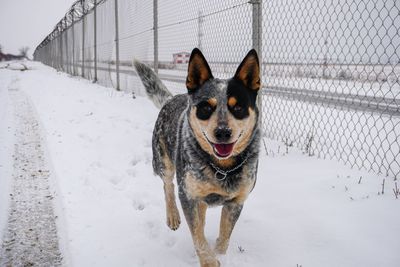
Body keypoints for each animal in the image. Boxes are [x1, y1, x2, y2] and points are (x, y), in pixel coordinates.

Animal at [133, 48, 260, 267]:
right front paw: (209, 261)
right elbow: (197, 235)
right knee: (168, 185)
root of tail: (170, 99)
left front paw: (218, 253)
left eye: (238, 108)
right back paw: (173, 216)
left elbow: (224, 237)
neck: (222, 168)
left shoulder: (236, 201)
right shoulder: (188, 195)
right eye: (206, 108)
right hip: (163, 161)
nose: (223, 132)